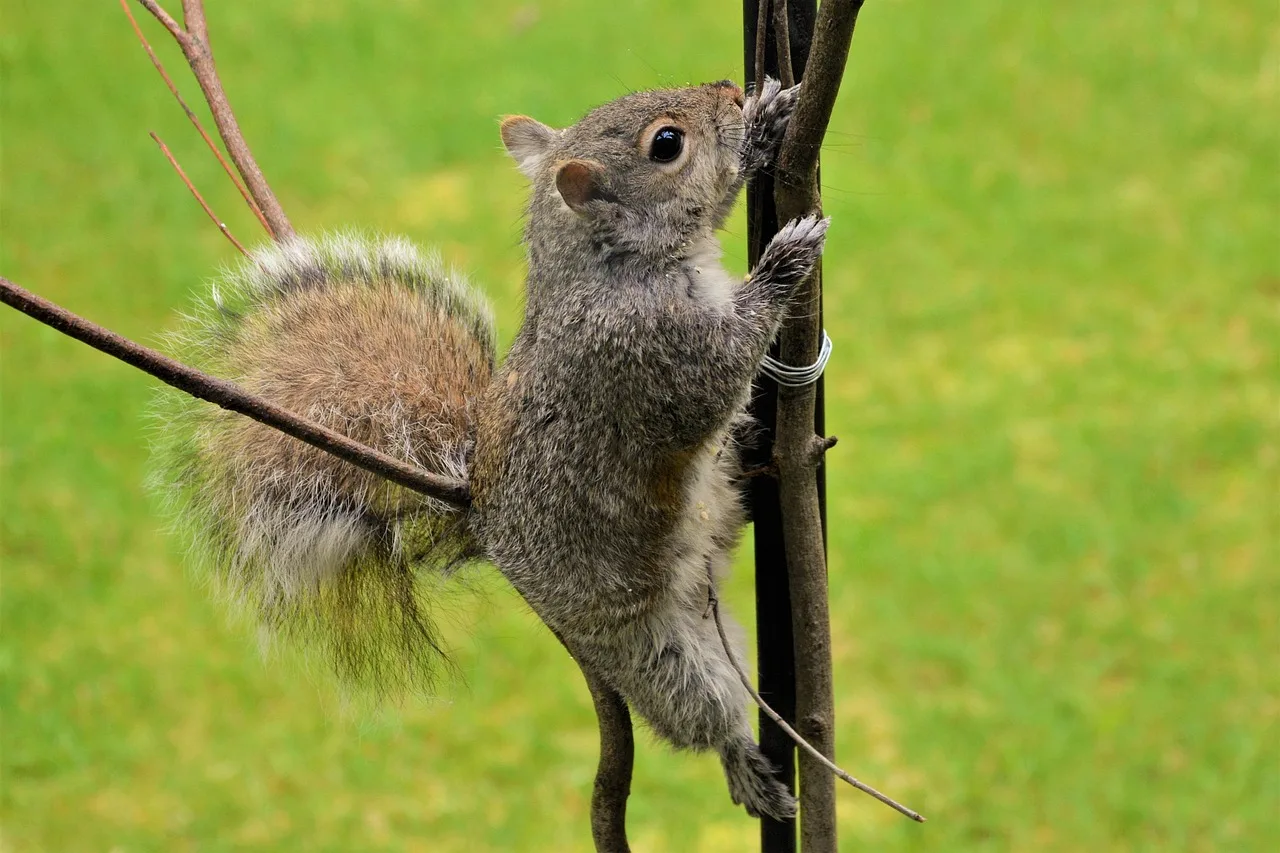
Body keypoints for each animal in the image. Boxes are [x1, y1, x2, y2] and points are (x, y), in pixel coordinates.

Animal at [153, 77, 829, 821]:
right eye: (667, 144)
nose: (730, 91)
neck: (611, 266)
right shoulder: (649, 351)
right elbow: (721, 370)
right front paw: (785, 261)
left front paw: (765, 124)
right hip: (650, 645)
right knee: (703, 714)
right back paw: (745, 766)